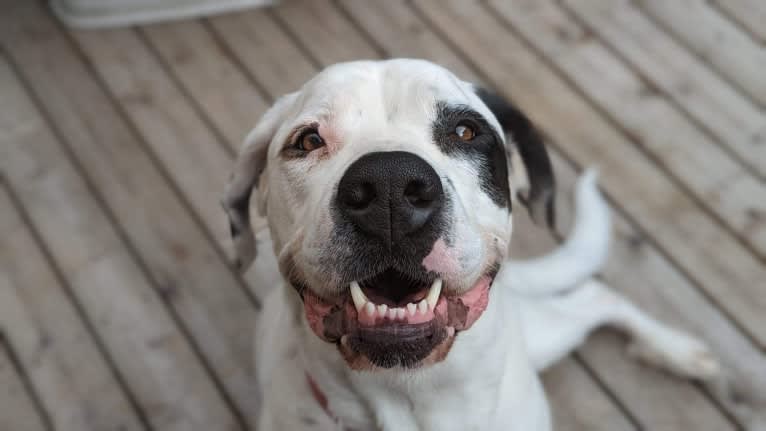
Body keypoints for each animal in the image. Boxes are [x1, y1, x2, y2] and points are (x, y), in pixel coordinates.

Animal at [220, 59, 720, 430]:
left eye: (464, 131)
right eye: (307, 140)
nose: (388, 185)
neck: (409, 398)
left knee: (596, 298)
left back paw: (674, 349)